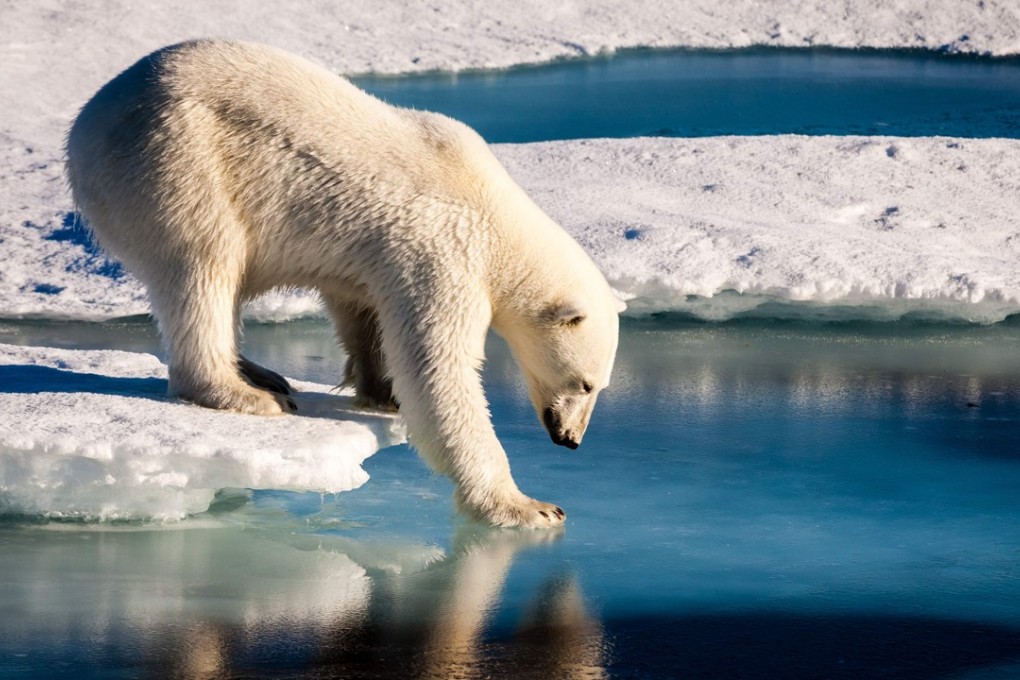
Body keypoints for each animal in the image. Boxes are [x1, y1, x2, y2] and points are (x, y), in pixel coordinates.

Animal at [65, 40, 621, 528]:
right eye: (585, 383)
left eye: (599, 386)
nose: (570, 439)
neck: (496, 215)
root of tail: (87, 122)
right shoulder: (444, 252)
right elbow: (439, 371)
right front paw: (529, 506)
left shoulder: (378, 257)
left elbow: (362, 310)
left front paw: (381, 391)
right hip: (177, 160)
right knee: (204, 265)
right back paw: (245, 393)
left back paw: (261, 372)